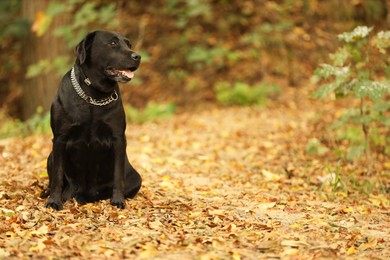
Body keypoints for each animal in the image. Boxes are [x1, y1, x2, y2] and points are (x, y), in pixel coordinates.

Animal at [41, 30, 142, 210]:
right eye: (113, 43)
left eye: (128, 44)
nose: (137, 56)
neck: (94, 96)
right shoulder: (60, 138)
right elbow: (58, 176)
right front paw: (54, 201)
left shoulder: (118, 138)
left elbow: (118, 175)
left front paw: (118, 200)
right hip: (50, 156)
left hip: (136, 178)